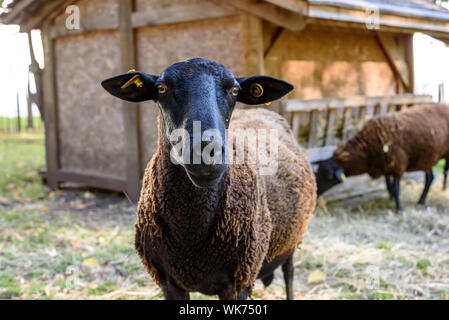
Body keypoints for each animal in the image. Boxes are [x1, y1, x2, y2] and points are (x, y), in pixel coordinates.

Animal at [102, 58, 316, 300]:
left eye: (235, 90)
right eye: (161, 89)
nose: (206, 151)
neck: (189, 235)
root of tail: (264, 111)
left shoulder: (238, 282)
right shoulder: (168, 282)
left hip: (292, 240)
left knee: (289, 272)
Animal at [316, 104, 448, 211]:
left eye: (329, 176)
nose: (316, 192)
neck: (367, 148)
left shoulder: (398, 165)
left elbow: (396, 188)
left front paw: (398, 208)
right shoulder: (385, 166)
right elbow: (389, 186)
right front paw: (391, 199)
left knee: (444, 171)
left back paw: (441, 190)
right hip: (426, 157)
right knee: (430, 177)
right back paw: (421, 200)